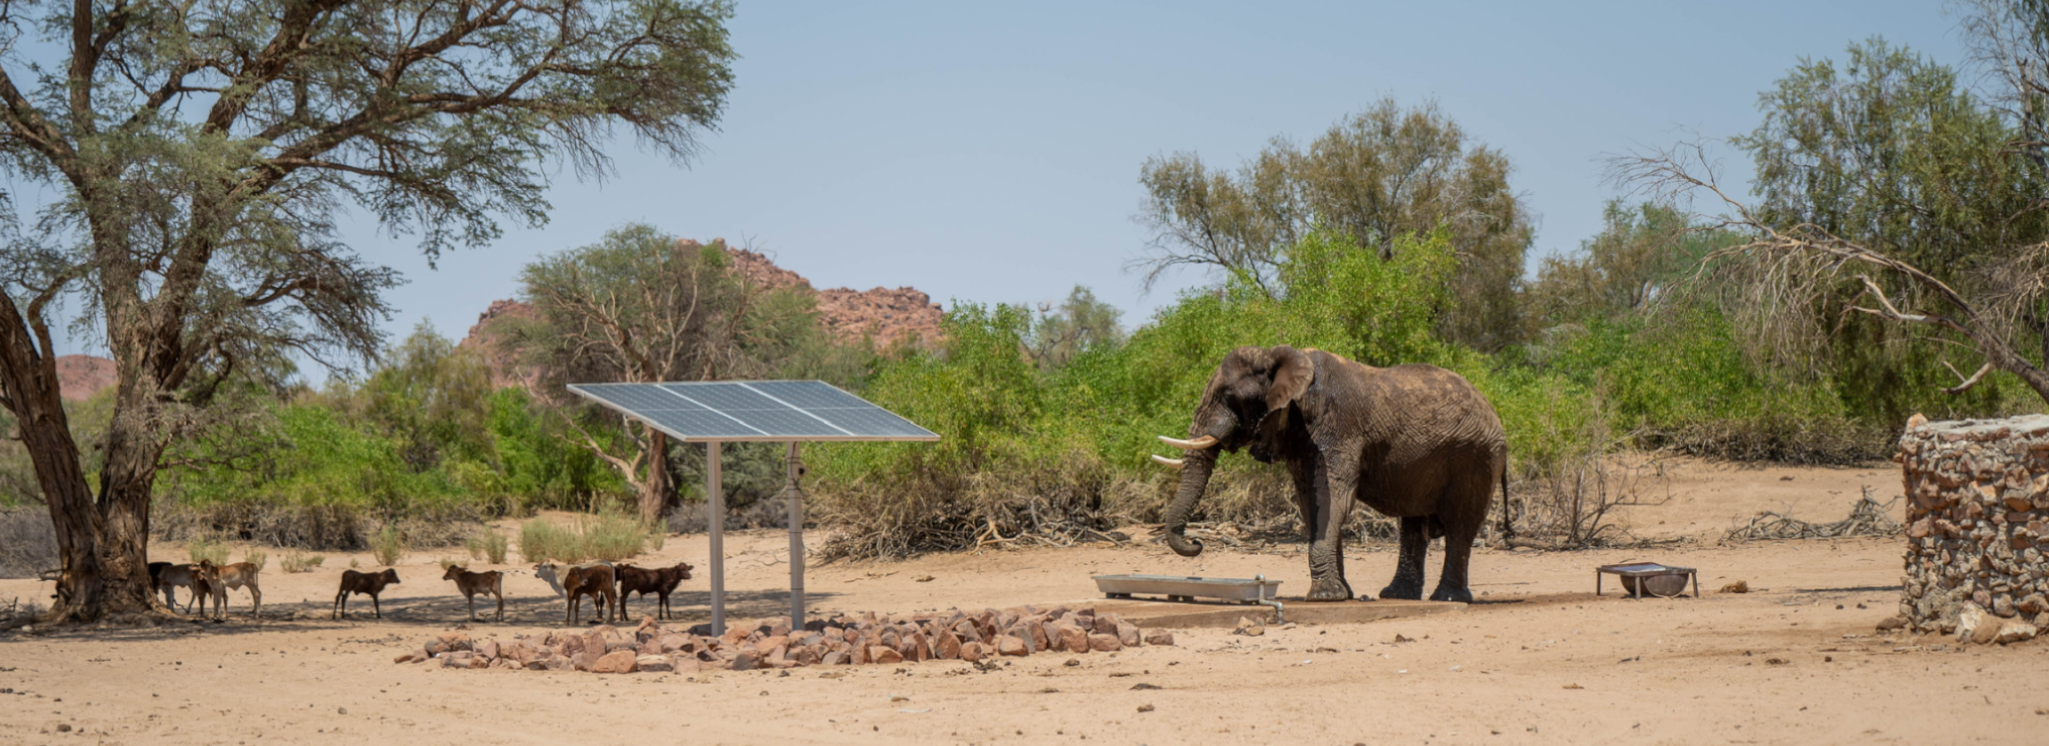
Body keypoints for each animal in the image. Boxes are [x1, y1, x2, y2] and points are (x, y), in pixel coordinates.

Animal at [1154, 345, 1508, 603]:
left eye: (1229, 397)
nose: (1197, 542)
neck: (1281, 356)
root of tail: (1495, 415)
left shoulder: (1336, 426)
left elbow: (1332, 498)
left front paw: (1325, 597)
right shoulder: (1300, 436)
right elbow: (1310, 504)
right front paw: (1341, 594)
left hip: (1476, 457)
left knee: (1461, 525)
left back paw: (1447, 599)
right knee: (1414, 524)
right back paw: (1397, 596)